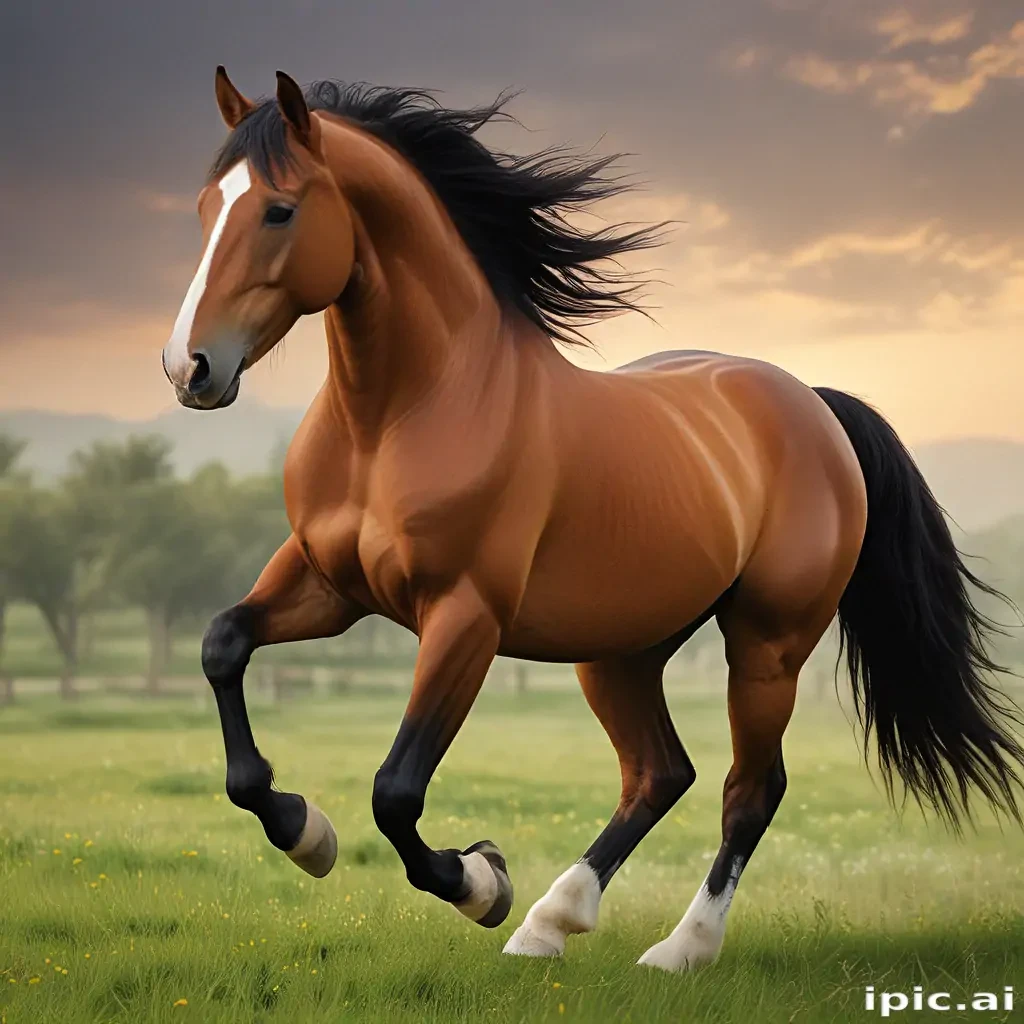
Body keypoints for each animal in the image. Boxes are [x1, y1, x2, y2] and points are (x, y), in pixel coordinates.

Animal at [160, 67, 1024, 972]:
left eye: (280, 210)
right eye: (205, 207)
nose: (190, 367)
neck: (399, 418)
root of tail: (811, 403)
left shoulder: (463, 617)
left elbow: (395, 792)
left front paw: (481, 881)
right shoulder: (327, 586)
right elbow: (223, 651)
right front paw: (307, 832)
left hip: (766, 647)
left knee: (749, 789)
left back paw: (678, 948)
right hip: (621, 651)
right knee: (659, 773)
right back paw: (552, 922)